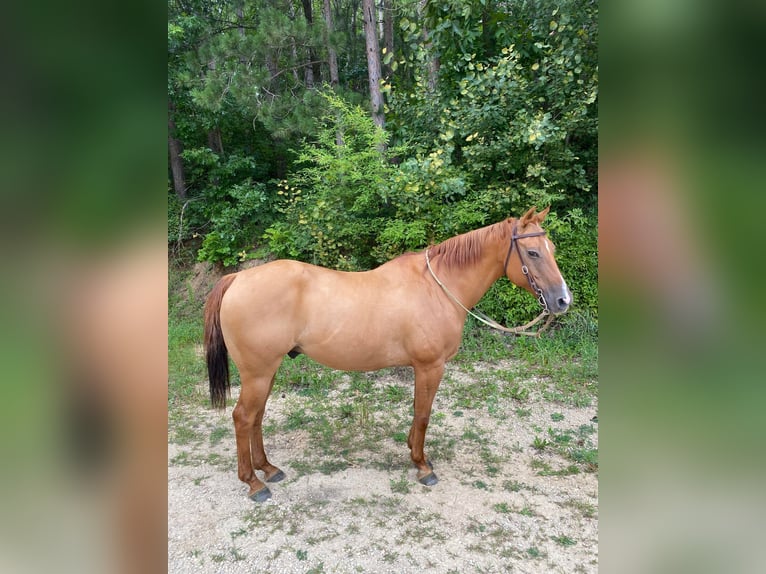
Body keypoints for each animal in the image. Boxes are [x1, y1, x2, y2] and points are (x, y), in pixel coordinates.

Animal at [202, 208, 568, 504]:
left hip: (266, 371)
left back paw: (268, 468)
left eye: (551, 249)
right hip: (258, 372)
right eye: (532, 252)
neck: (437, 288)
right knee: (243, 418)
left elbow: (418, 412)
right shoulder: (430, 367)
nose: (563, 300)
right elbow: (423, 414)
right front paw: (422, 465)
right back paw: (254, 484)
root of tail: (238, 278)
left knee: (256, 417)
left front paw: (413, 451)